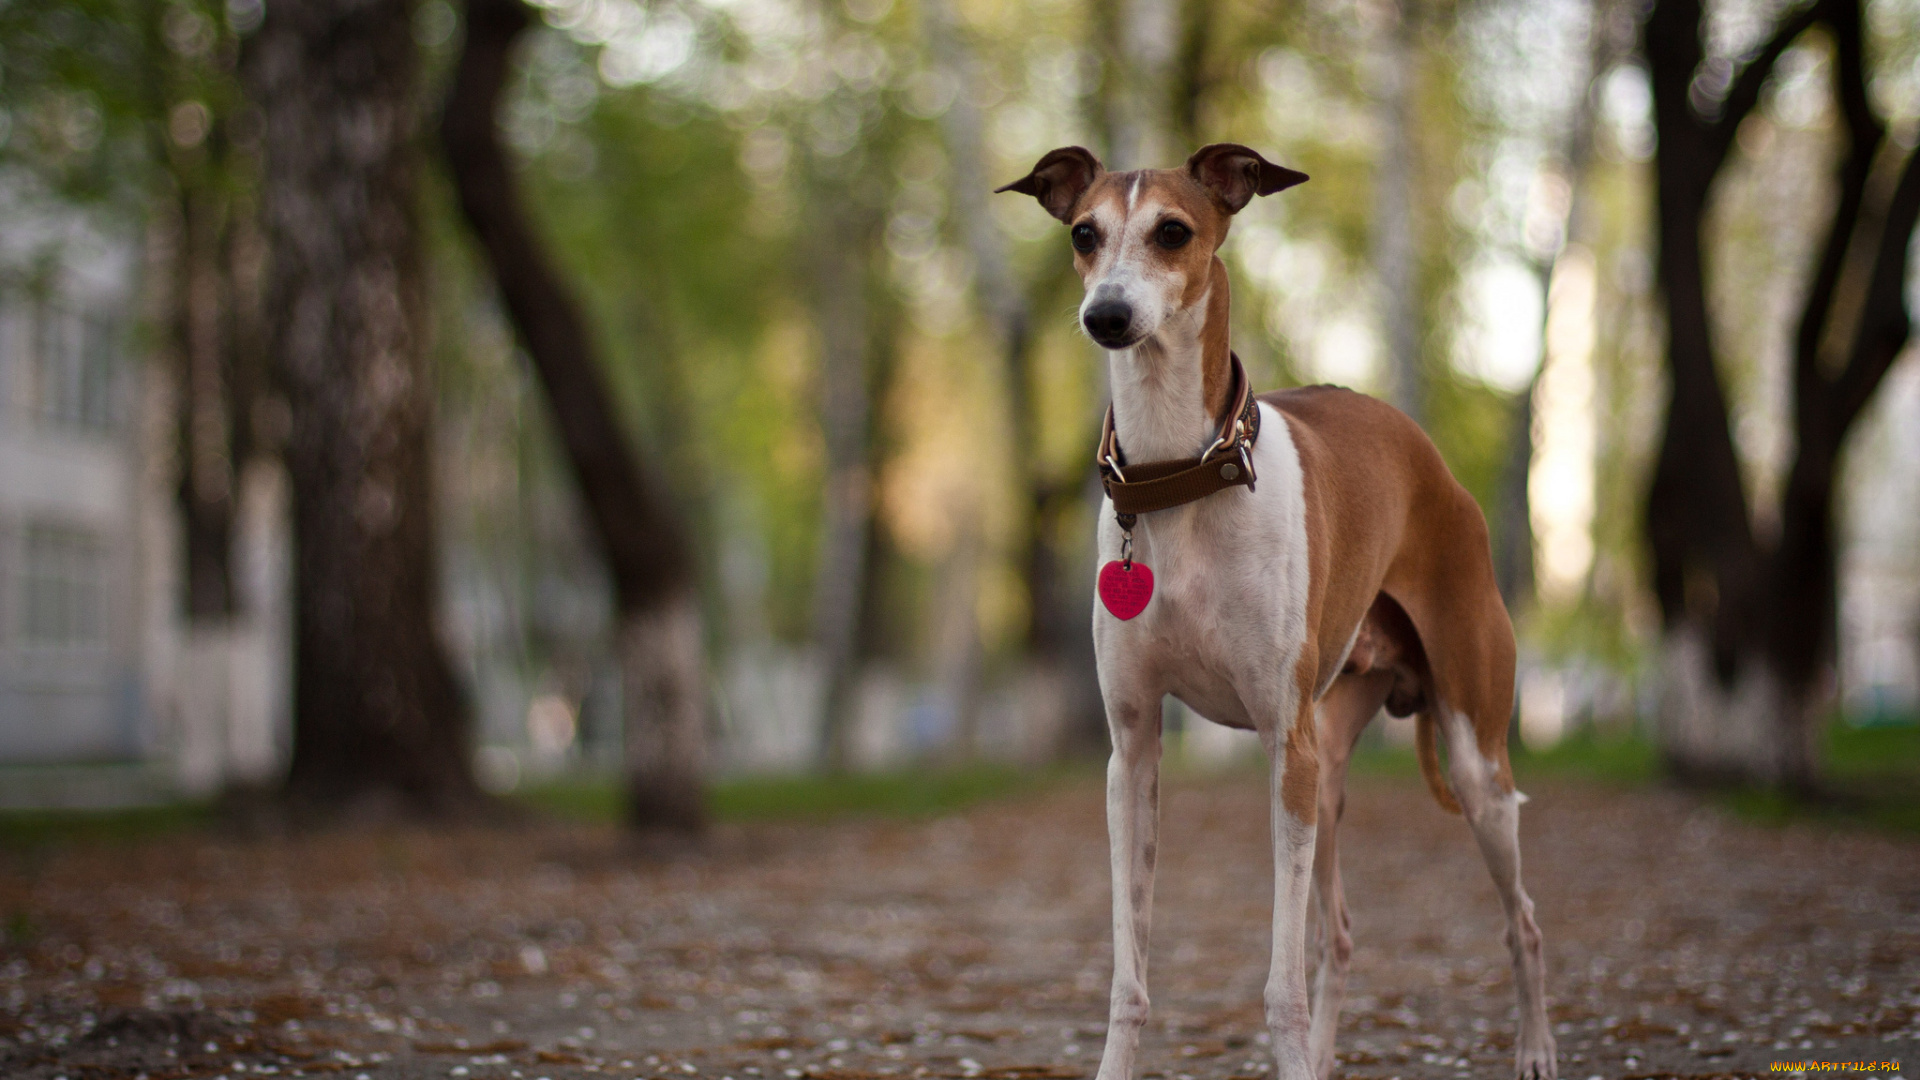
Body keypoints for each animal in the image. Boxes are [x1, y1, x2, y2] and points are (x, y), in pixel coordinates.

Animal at [998, 147, 1551, 1076]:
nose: (1106, 315)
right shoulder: (1133, 753)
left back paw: (1537, 1048)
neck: (1179, 476)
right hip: (1325, 771)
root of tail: (1427, 455)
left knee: (1524, 922)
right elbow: (1129, 973)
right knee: (1341, 932)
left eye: (1172, 232)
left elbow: (1279, 988)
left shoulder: (1281, 751)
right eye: (1083, 233)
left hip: (1468, 762)